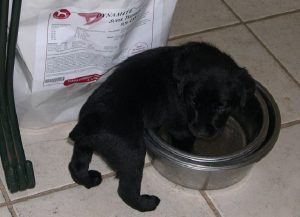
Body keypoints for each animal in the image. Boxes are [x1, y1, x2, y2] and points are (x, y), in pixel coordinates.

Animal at [68, 42, 255, 212]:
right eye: (193, 101)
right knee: (126, 190)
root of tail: (88, 126)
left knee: (76, 166)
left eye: (222, 106)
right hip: (132, 154)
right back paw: (147, 204)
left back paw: (90, 179)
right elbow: (186, 141)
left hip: (84, 145)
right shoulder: (181, 129)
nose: (200, 132)